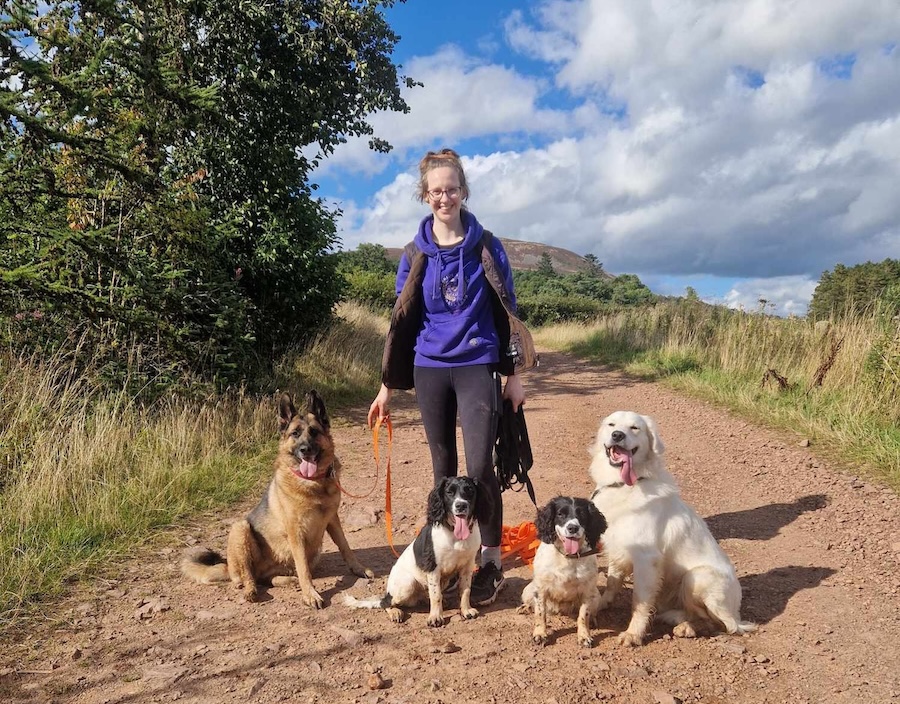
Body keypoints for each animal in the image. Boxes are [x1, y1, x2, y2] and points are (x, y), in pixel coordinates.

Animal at [183, 390, 372, 604]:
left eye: (314, 432)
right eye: (295, 434)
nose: (305, 450)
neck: (313, 483)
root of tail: (228, 567)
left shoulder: (333, 520)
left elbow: (345, 546)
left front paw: (358, 569)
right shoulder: (296, 532)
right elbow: (303, 568)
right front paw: (310, 594)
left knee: (268, 579)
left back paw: (286, 580)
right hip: (240, 528)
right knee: (248, 575)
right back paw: (250, 590)